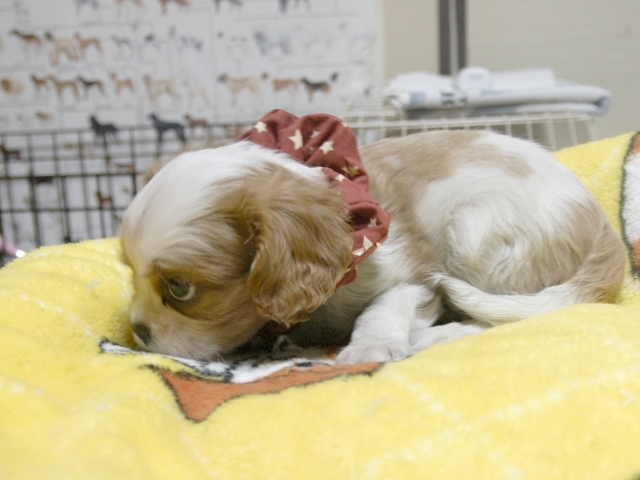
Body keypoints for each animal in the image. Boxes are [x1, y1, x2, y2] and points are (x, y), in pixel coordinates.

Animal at [120, 111, 626, 364]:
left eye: (180, 288)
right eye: (129, 272)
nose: (137, 331)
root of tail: (605, 229)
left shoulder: (415, 271)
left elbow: (384, 307)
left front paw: (369, 346)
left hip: (477, 231)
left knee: (498, 318)